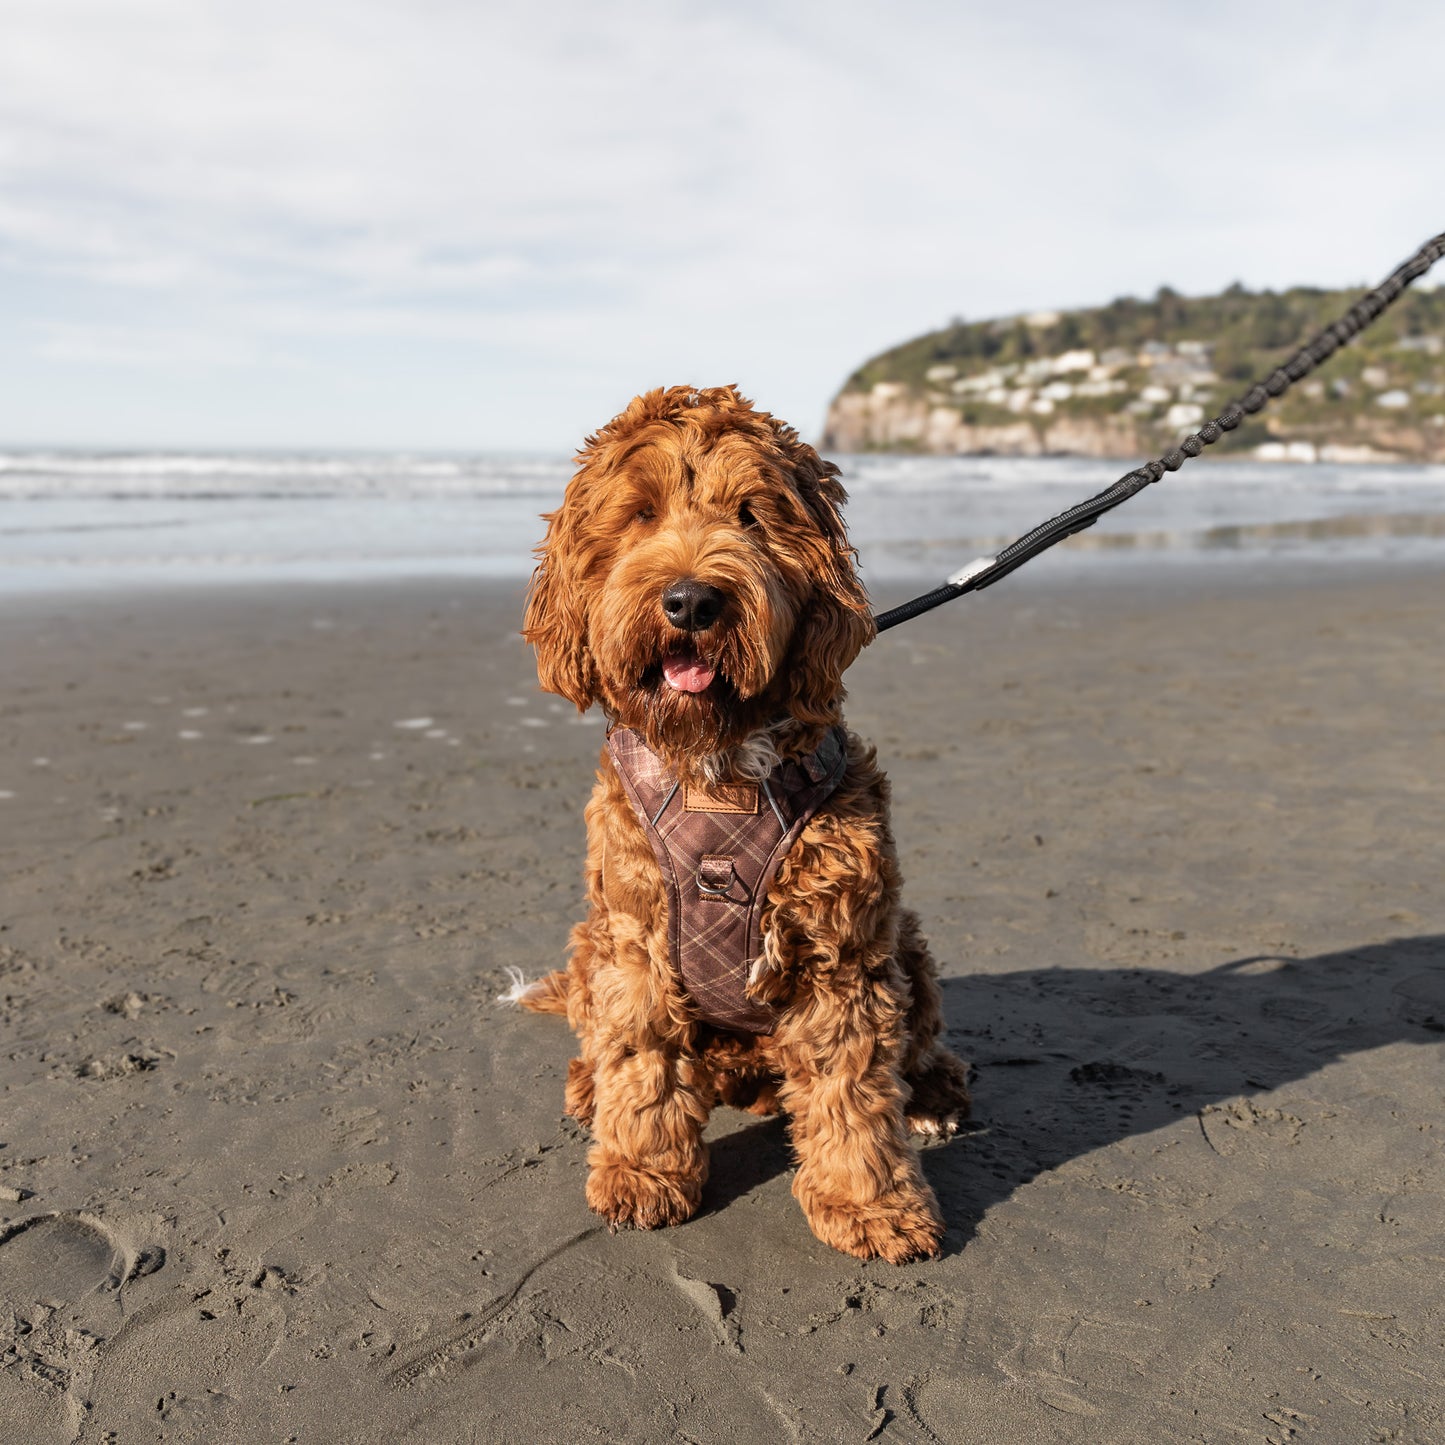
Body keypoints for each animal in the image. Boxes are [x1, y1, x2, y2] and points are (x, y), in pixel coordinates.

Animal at [514, 384, 965, 1265]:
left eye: (751, 514)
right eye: (640, 514)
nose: (691, 600)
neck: (716, 763)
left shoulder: (838, 950)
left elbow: (853, 1087)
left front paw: (870, 1202)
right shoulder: (636, 935)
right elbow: (640, 1055)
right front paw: (642, 1172)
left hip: (903, 938)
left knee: (917, 1037)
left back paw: (930, 1095)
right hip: (590, 938)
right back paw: (590, 1086)